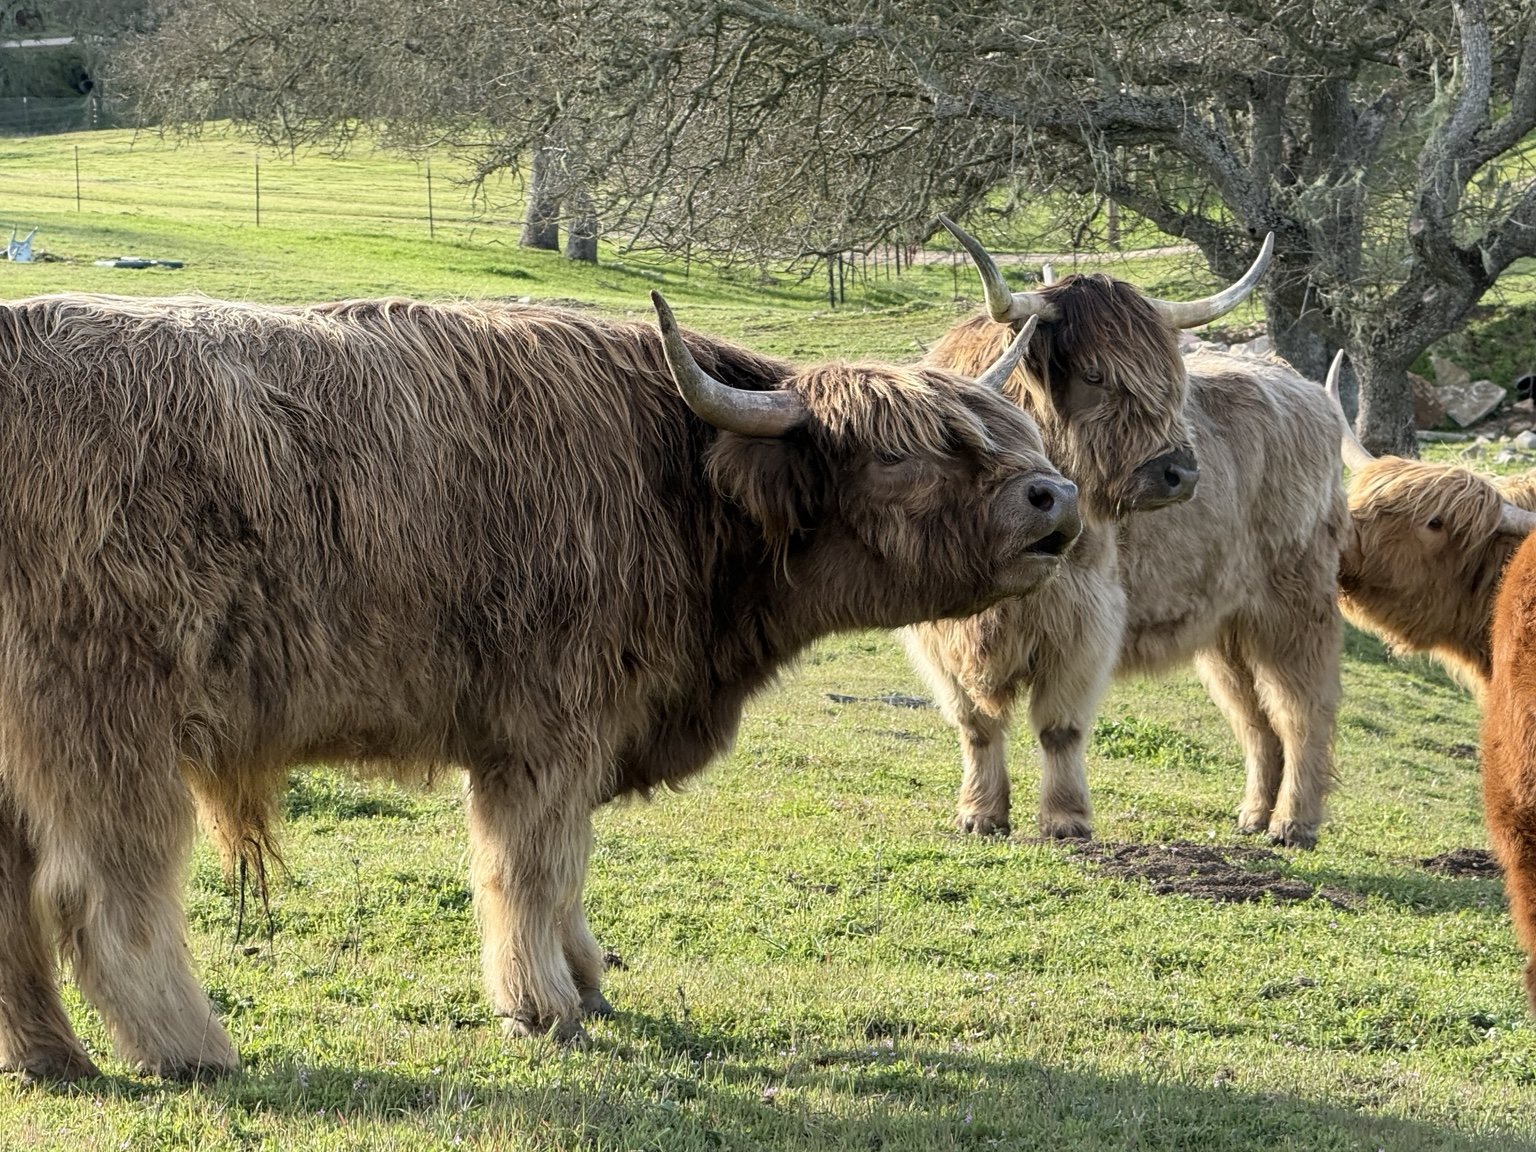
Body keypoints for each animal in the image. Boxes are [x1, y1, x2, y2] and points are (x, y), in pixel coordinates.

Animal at [0, 290, 1080, 1082]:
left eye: (1013, 436)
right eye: (903, 452)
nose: (1056, 497)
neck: (677, 483)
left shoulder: (588, 726)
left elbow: (569, 864)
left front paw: (585, 979)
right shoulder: (545, 725)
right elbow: (531, 864)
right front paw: (542, 1008)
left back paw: (48, 1058)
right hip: (106, 721)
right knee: (103, 891)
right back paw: (192, 1050)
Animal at [903, 220, 1348, 848]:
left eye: (1172, 380)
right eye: (1095, 374)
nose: (1181, 472)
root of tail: (1308, 390)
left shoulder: (1083, 615)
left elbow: (1059, 726)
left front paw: (1065, 820)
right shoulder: (942, 631)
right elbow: (976, 723)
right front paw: (980, 814)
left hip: (1294, 604)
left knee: (1302, 708)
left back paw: (1293, 823)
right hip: (1227, 627)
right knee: (1254, 718)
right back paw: (1254, 815)